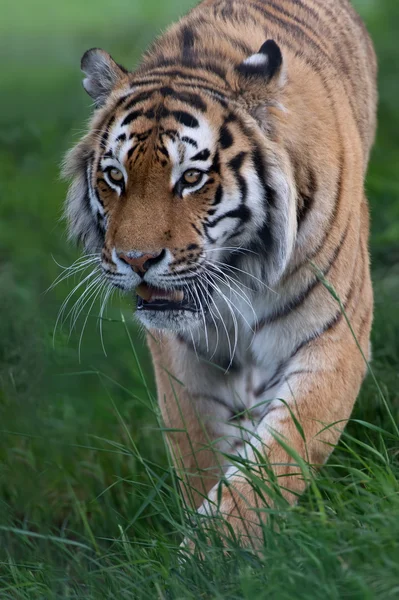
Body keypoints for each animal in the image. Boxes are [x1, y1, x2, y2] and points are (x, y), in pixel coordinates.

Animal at [62, 0, 378, 548]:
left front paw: (217, 551)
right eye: (114, 177)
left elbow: (275, 460)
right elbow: (201, 455)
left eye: (191, 177)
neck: (238, 272)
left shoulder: (334, 339)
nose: (136, 260)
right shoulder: (184, 357)